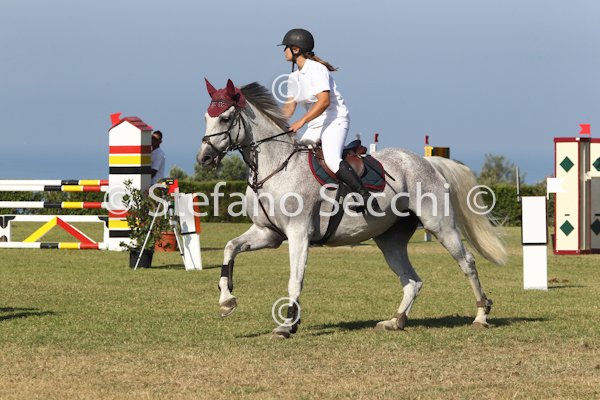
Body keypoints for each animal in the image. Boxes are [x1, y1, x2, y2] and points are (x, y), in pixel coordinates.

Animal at [197, 79, 506, 339]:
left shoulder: (298, 234)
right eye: (206, 118)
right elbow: (230, 248)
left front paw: (285, 326)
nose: (205, 158)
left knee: (467, 263)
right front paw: (227, 301)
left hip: (439, 226)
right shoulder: (267, 233)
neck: (275, 168)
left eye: (225, 118)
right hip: (390, 240)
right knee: (412, 281)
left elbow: (295, 280)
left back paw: (481, 315)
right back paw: (395, 321)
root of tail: (427, 162)